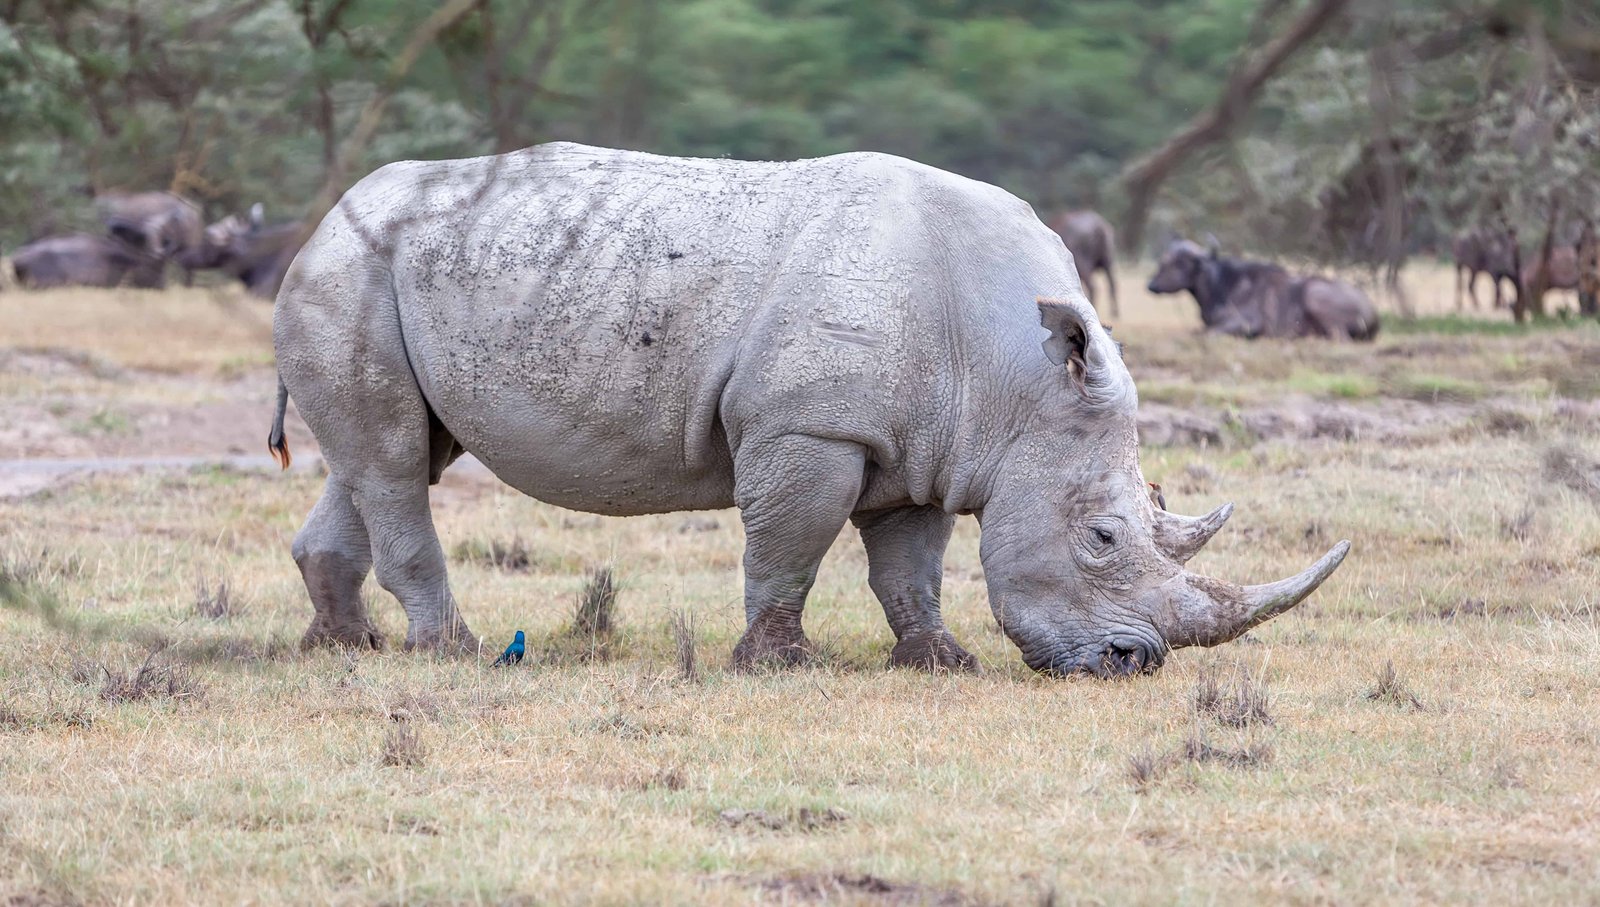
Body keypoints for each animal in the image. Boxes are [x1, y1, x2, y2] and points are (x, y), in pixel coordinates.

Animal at [269, 143, 1349, 676]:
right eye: (1102, 537)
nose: (1134, 663)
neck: (1012, 375)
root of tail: (319, 220)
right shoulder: (810, 427)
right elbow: (789, 547)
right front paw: (774, 664)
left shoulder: (927, 444)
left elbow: (910, 567)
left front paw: (939, 662)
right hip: (349, 272)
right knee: (394, 462)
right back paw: (448, 653)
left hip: (379, 274)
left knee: (389, 455)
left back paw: (345, 647)